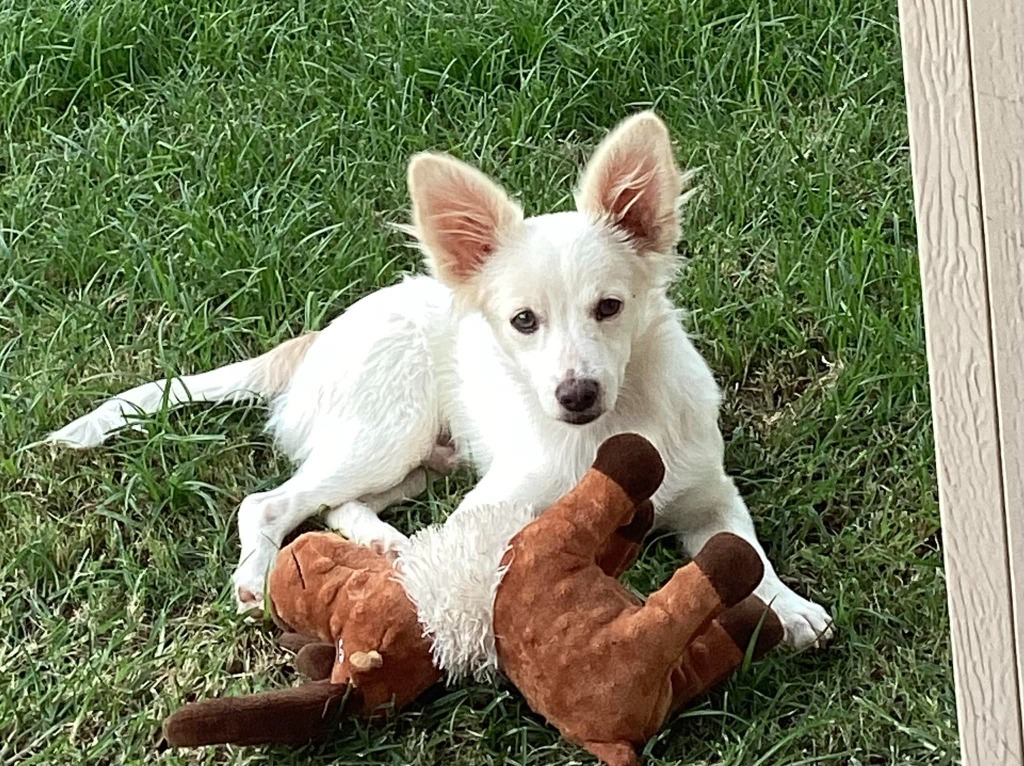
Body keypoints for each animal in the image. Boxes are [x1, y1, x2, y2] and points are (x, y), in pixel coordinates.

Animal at [48, 113, 831, 651]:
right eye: (523, 321)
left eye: (610, 308)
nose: (576, 396)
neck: (611, 434)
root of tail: (314, 343)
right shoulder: (493, 506)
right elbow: (477, 570)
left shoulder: (709, 494)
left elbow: (748, 554)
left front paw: (789, 607)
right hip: (387, 431)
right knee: (270, 503)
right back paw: (257, 573)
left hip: (417, 463)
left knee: (338, 507)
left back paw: (387, 545)